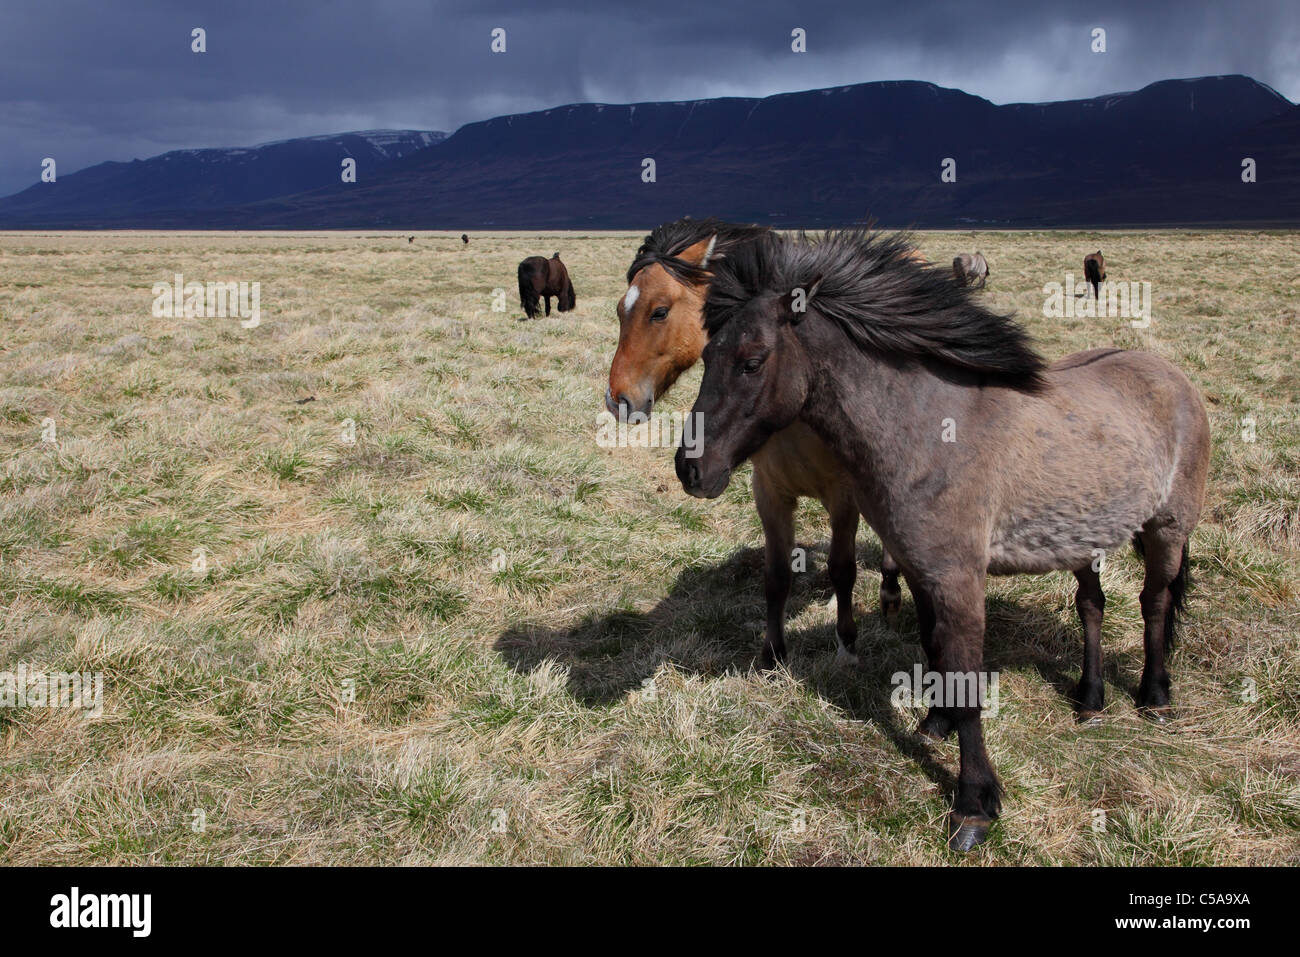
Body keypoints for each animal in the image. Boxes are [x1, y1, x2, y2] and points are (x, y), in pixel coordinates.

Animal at [605, 217, 904, 670]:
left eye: (659, 311)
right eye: (622, 309)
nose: (617, 400)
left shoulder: (844, 497)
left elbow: (842, 568)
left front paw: (846, 645)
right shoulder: (769, 491)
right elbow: (776, 575)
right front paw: (773, 654)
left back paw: (889, 592)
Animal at [676, 231, 1211, 852]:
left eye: (752, 362)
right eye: (706, 358)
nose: (691, 469)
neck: (928, 430)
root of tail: (1171, 376)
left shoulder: (959, 579)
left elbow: (965, 678)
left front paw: (974, 802)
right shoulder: (917, 567)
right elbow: (932, 645)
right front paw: (934, 721)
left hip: (1167, 529)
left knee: (1155, 604)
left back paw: (1154, 696)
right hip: (1085, 538)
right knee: (1093, 607)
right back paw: (1090, 698)